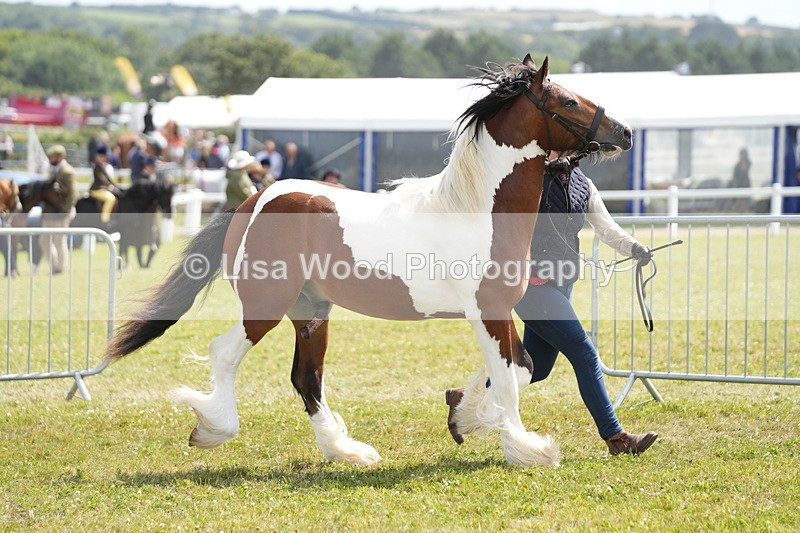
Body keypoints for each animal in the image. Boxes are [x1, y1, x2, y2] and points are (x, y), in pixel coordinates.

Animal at [105, 56, 632, 468]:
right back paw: (213, 428)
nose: (624, 131)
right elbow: (509, 377)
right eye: (568, 102)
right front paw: (527, 447)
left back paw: (348, 451)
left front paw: (463, 417)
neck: (479, 208)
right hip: (265, 305)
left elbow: (519, 369)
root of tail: (253, 200)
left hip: (311, 312)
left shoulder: (497, 312)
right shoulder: (488, 310)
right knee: (226, 354)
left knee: (306, 379)